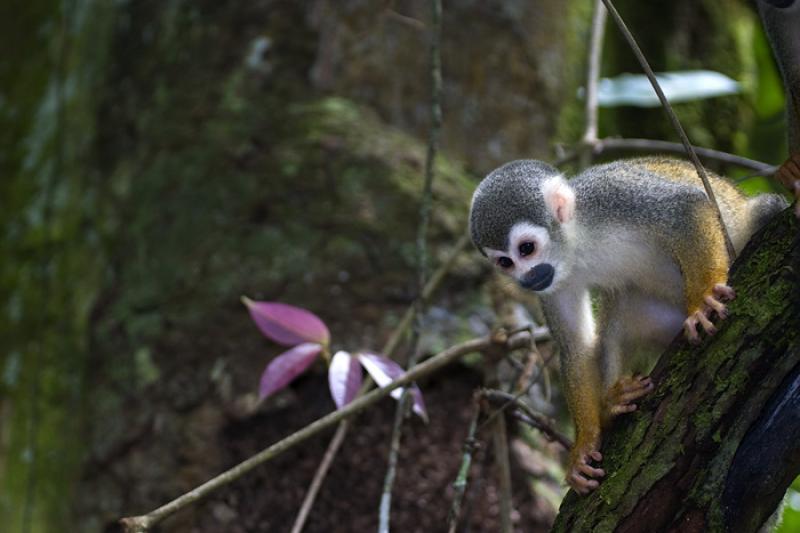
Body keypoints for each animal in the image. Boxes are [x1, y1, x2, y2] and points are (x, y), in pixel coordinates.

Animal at [468, 157, 788, 494]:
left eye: (526, 249)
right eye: (505, 262)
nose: (527, 279)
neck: (577, 244)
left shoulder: (613, 198)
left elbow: (687, 207)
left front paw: (702, 298)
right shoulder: (553, 283)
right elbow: (576, 346)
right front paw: (584, 445)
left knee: (767, 209)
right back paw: (613, 403)